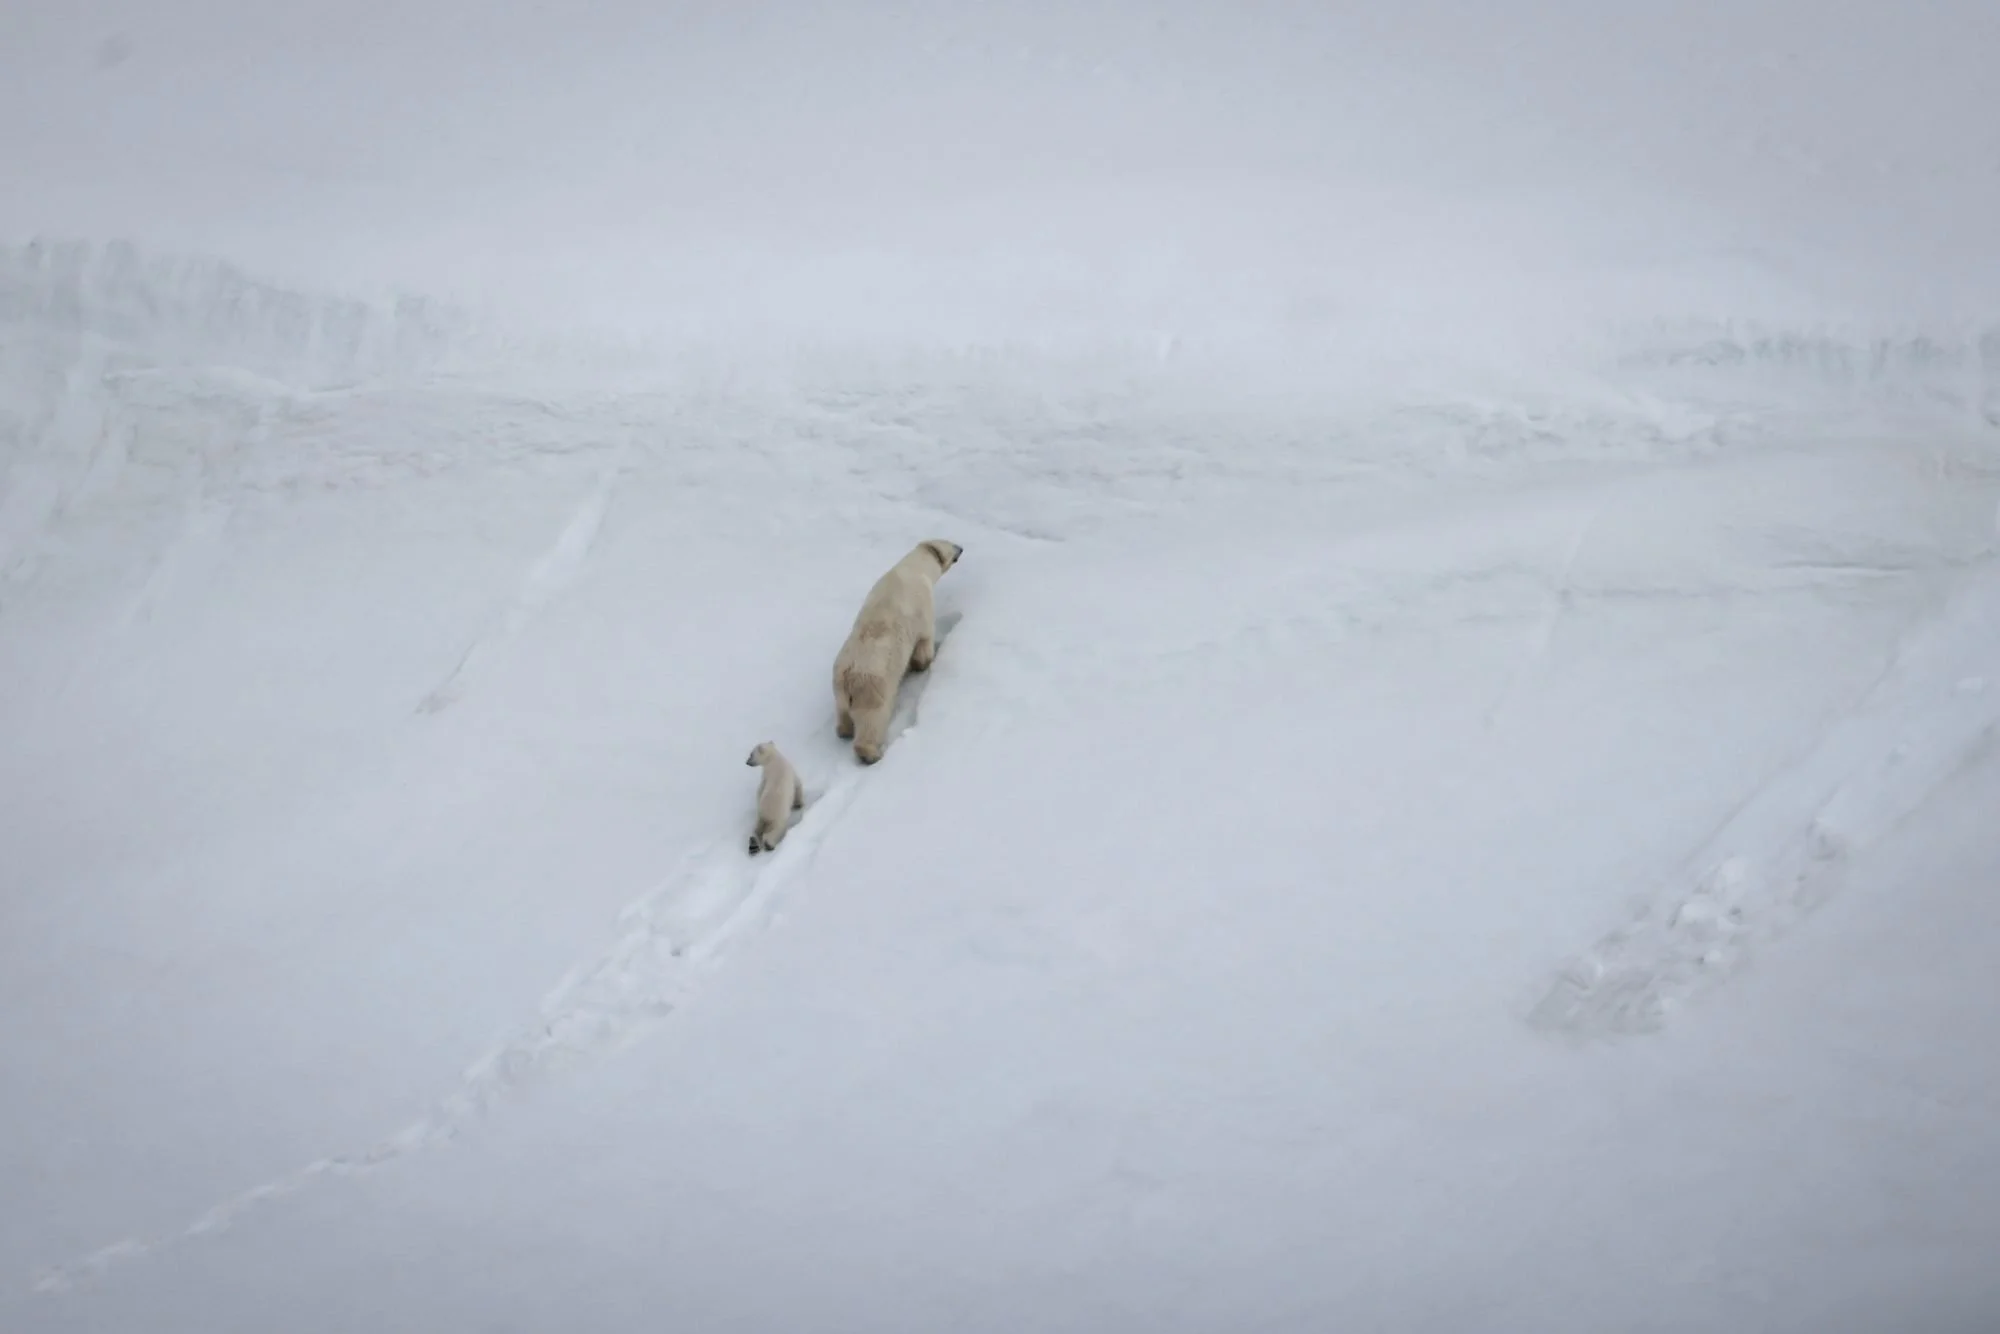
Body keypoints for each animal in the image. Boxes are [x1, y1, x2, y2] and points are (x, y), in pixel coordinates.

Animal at [831, 538, 963, 764]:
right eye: (951, 544)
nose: (961, 548)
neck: (912, 567)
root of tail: (848, 679)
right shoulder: (923, 606)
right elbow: (924, 642)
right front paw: (924, 662)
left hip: (839, 691)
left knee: (843, 714)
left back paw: (844, 731)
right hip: (873, 689)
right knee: (873, 720)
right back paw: (871, 754)